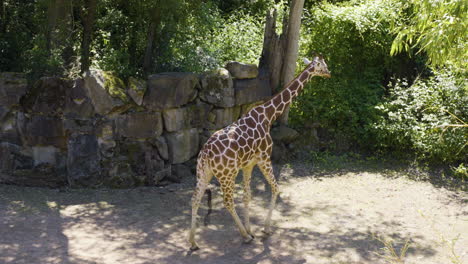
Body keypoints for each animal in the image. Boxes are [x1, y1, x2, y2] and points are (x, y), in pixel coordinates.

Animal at [188, 55, 330, 250]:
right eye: (323, 65)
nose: (329, 73)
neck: (268, 115)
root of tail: (206, 154)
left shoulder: (248, 165)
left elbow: (247, 197)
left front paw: (251, 229)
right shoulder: (264, 158)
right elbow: (276, 188)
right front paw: (265, 229)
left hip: (204, 172)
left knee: (195, 199)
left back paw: (193, 242)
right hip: (227, 175)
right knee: (227, 201)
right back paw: (243, 237)